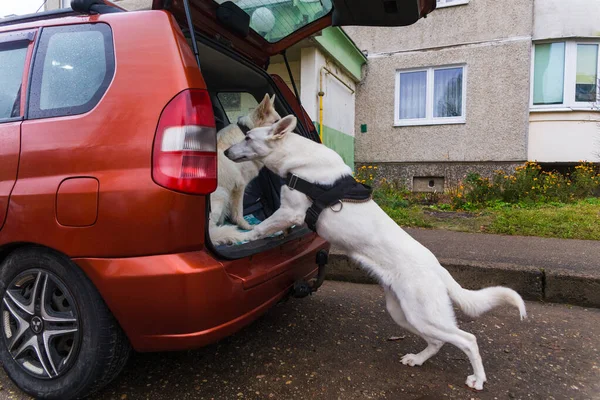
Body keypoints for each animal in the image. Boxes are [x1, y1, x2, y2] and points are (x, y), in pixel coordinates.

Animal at [223, 115, 528, 390]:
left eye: (247, 137)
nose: (225, 152)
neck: (298, 158)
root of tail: (437, 268)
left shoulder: (289, 212)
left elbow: (260, 228)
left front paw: (239, 237)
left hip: (424, 316)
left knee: (468, 340)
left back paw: (478, 379)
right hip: (405, 314)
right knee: (438, 341)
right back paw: (418, 359)